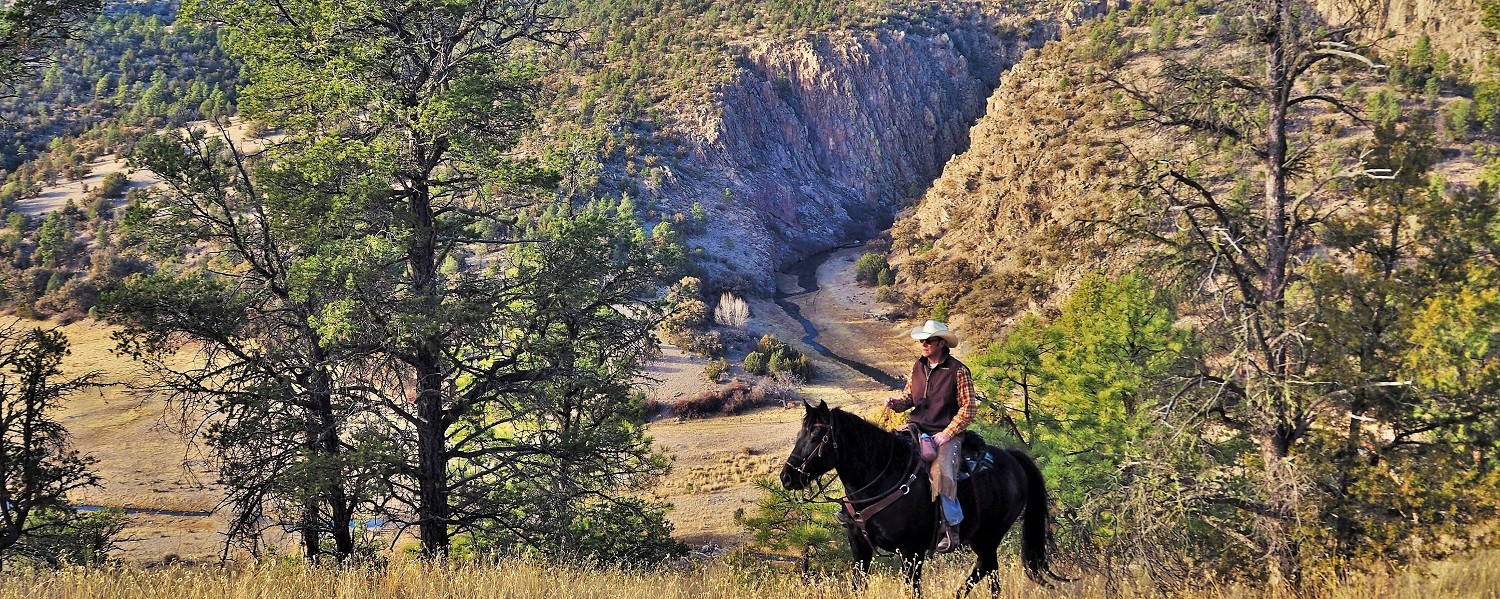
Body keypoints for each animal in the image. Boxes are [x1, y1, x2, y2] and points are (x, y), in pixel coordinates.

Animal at [780, 402, 1062, 597]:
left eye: (816, 437)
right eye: (798, 435)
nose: (787, 477)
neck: (881, 477)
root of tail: (1013, 458)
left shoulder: (912, 552)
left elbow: (912, 591)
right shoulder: (859, 547)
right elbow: (857, 587)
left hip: (989, 535)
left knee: (986, 566)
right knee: (990, 570)